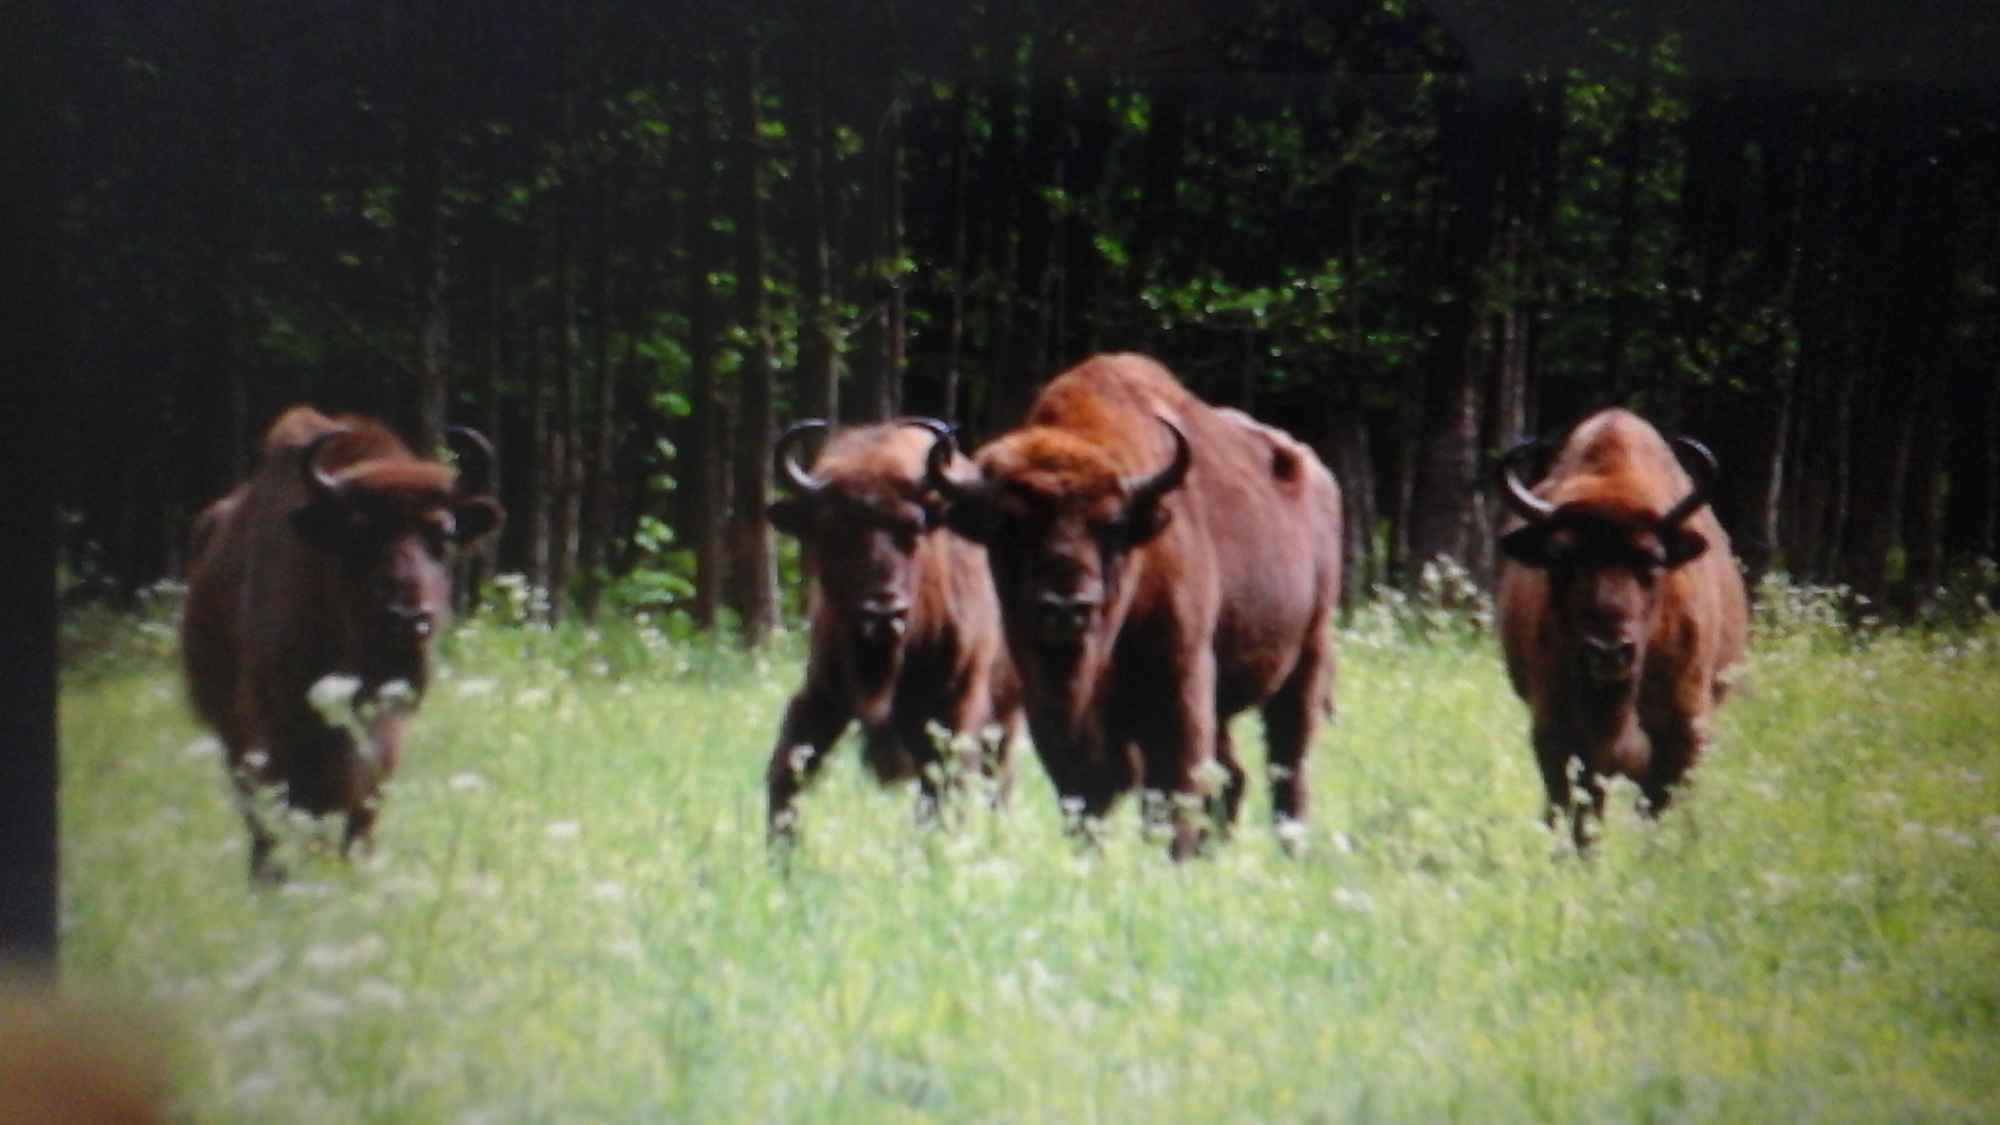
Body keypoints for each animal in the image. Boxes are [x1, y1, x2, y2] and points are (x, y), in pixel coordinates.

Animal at [184, 402, 504, 876]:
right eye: (358, 533)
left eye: (444, 535)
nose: (409, 617)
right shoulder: (273, 724)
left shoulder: (388, 722)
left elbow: (364, 800)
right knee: (258, 811)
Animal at [760, 416, 1024, 836]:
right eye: (830, 530)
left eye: (914, 526)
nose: (884, 613)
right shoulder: (823, 691)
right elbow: (789, 764)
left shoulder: (956, 705)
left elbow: (945, 785)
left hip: (1005, 713)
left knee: (995, 777)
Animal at [924, 354, 1344, 852]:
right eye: (1008, 526)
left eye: (1112, 525)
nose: (1067, 607)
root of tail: (1318, 476)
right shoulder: (1051, 704)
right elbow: (1087, 789)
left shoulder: (1180, 679)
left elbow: (1173, 784)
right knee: (1233, 777)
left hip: (1307, 656)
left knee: (1289, 765)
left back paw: (1290, 848)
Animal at [1496, 406, 1744, 844]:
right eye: (1558, 557)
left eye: (1654, 558)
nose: (1609, 651)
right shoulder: (1556, 735)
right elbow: (1578, 813)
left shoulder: (1682, 737)